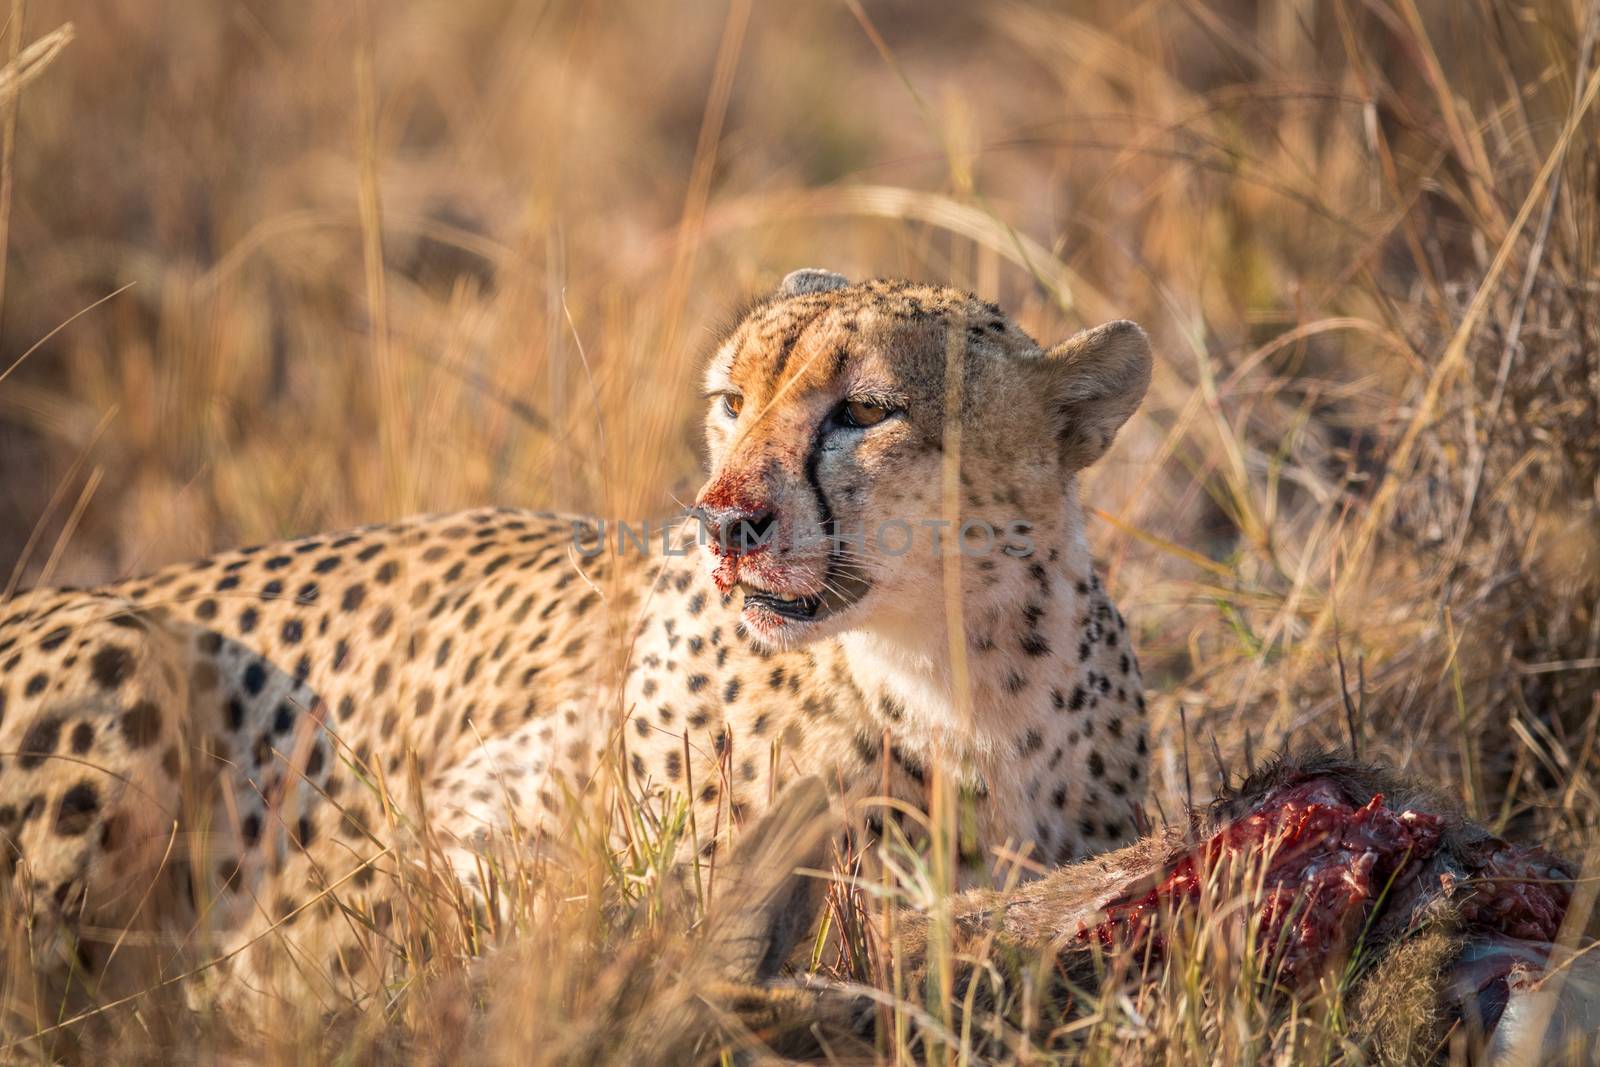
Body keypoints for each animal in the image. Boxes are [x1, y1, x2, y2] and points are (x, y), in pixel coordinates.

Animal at [0, 267, 1152, 1017]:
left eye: (865, 410)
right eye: (732, 401)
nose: (724, 519)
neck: (957, 672)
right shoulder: (432, 833)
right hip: (123, 639)